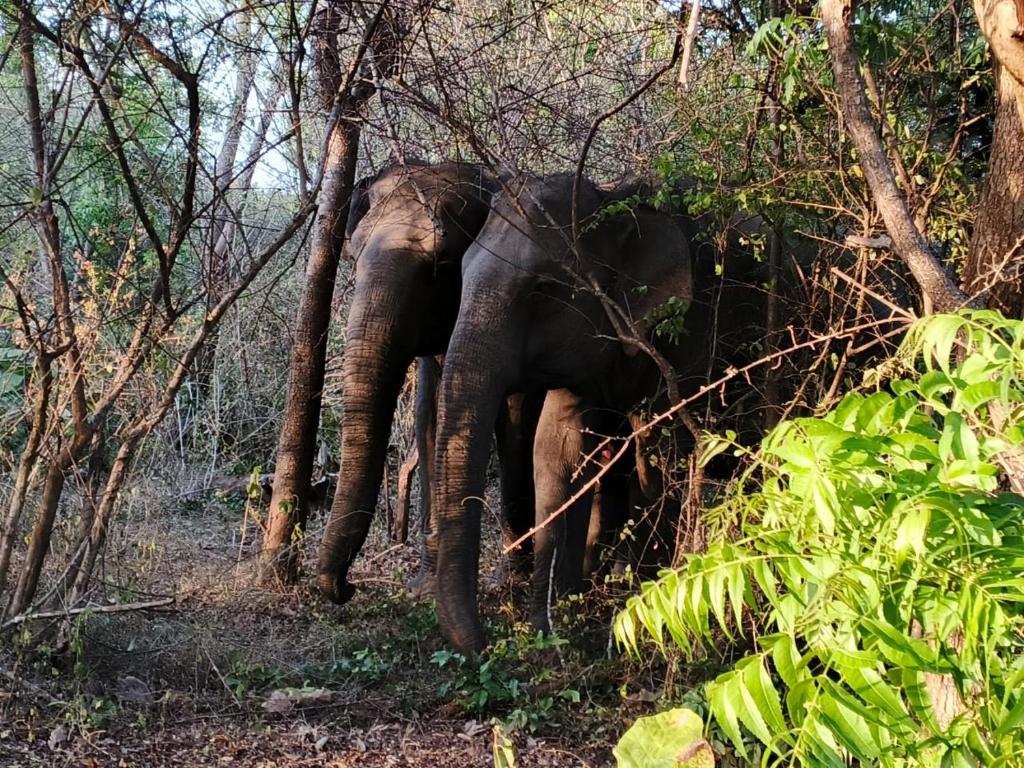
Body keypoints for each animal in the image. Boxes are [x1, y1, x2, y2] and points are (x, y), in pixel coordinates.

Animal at [316, 160, 538, 607]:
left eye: (441, 264)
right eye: (353, 255)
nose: (347, 587)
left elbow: (514, 416)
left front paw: (509, 583)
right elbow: (430, 416)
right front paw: (425, 588)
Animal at [430, 172, 778, 654]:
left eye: (543, 288)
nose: (482, 641)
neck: (618, 202)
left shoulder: (689, 327)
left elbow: (659, 447)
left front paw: (645, 601)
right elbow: (558, 447)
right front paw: (551, 626)